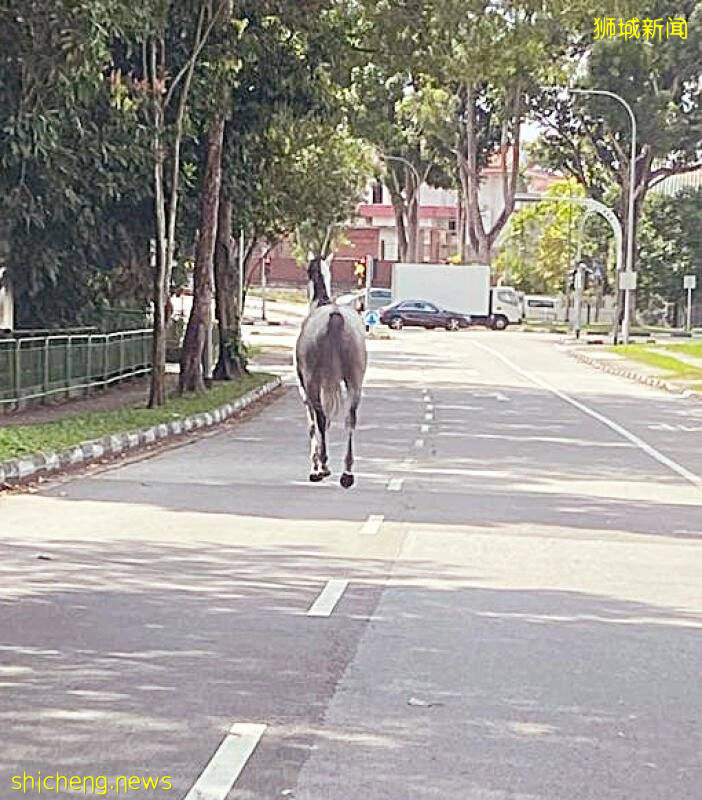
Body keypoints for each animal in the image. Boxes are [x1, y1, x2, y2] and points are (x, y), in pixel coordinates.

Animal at [295, 255, 367, 488]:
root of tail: (335, 315)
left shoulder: (305, 388)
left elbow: (314, 424)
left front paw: (316, 464)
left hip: (311, 382)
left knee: (319, 418)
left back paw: (322, 467)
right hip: (355, 379)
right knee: (350, 417)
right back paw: (347, 472)